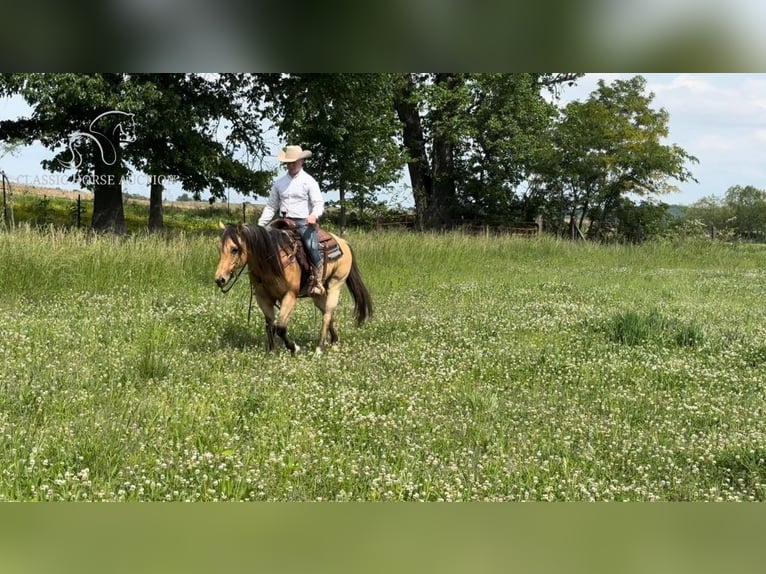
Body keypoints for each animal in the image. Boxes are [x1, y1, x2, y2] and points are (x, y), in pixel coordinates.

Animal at [214, 220, 374, 356]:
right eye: (219, 249)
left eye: (234, 249)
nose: (219, 279)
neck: (273, 261)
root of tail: (343, 242)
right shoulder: (263, 298)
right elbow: (270, 325)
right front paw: (271, 351)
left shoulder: (289, 296)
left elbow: (280, 327)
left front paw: (294, 348)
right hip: (318, 294)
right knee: (327, 313)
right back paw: (334, 342)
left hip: (336, 284)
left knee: (327, 314)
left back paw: (319, 348)